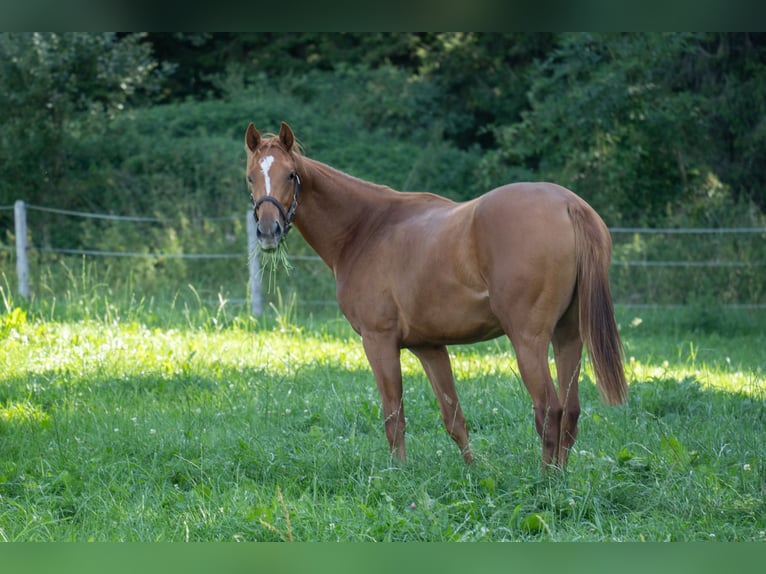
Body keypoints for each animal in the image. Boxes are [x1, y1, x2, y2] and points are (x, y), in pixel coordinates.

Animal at [248, 121, 632, 468]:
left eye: (291, 175)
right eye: (251, 177)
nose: (268, 231)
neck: (367, 228)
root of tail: (568, 203)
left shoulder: (378, 341)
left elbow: (394, 416)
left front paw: (399, 473)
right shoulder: (429, 347)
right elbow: (454, 418)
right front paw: (473, 472)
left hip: (529, 341)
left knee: (550, 410)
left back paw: (545, 481)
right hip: (568, 336)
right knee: (571, 411)